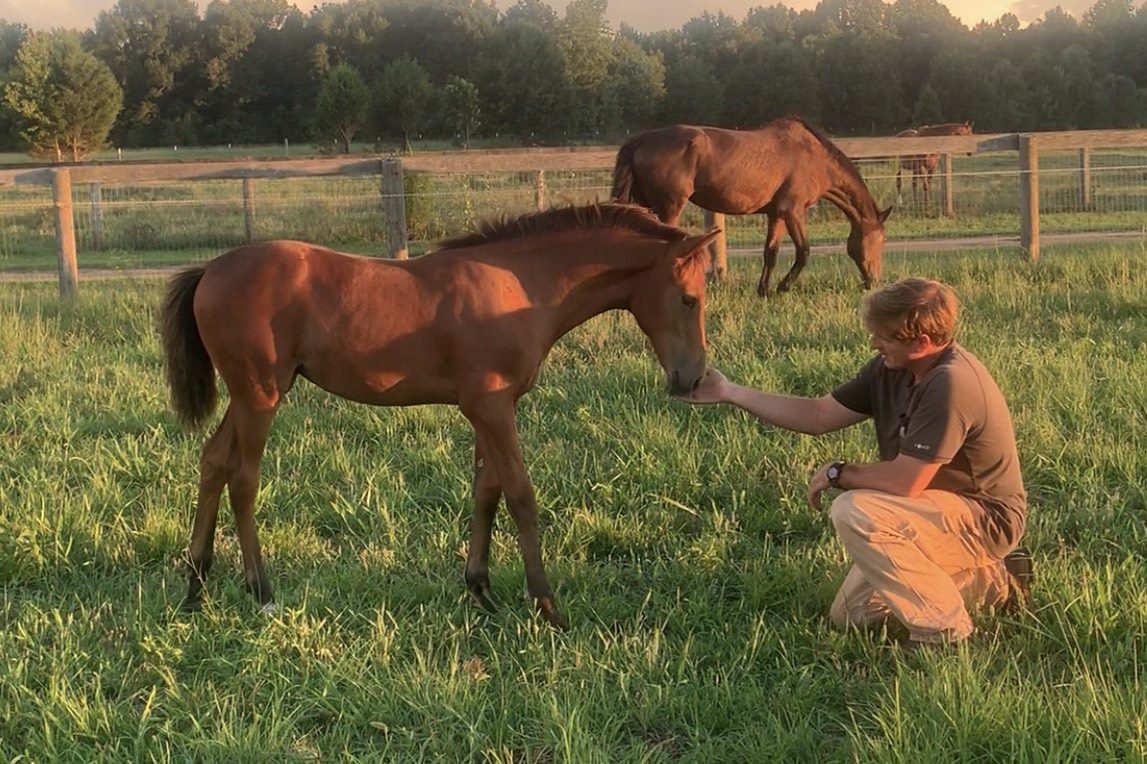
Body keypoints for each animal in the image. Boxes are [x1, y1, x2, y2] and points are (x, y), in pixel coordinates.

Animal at [158, 203, 718, 630]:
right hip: (260, 396)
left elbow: (486, 492)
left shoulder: (490, 408)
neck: (521, 285)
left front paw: (482, 590)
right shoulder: (492, 407)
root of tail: (209, 270)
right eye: (690, 299)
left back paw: (196, 584)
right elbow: (520, 496)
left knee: (213, 462)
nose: (691, 379)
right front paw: (546, 605)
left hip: (248, 397)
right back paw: (262, 591)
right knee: (243, 479)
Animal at [611, 116, 891, 298]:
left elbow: (771, 252)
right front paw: (783, 287)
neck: (815, 158)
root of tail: (644, 138)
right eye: (881, 240)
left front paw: (764, 290)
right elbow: (803, 251)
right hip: (669, 208)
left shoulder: (776, 215)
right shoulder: (794, 212)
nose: (874, 281)